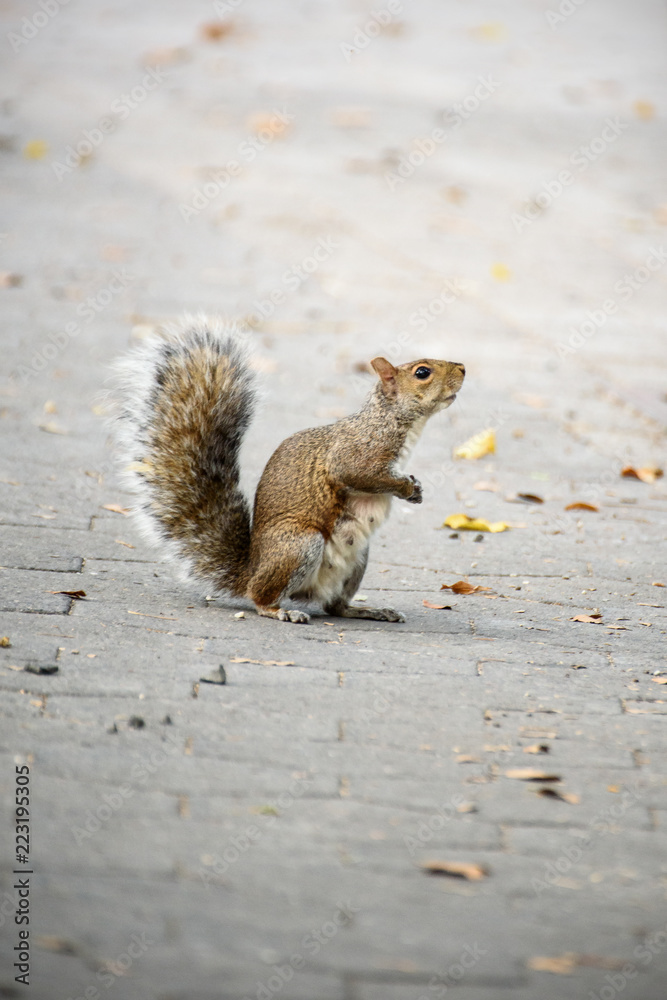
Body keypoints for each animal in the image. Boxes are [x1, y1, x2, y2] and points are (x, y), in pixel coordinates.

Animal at [112, 317, 465, 624]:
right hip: (299, 545)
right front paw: (406, 487)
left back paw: (370, 611)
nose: (463, 367)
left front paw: (416, 489)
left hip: (358, 558)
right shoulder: (354, 455)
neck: (389, 419)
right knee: (261, 596)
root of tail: (251, 570)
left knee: (335, 606)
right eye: (422, 372)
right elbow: (361, 476)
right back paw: (281, 611)